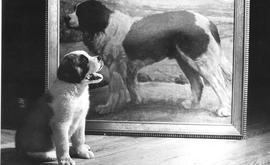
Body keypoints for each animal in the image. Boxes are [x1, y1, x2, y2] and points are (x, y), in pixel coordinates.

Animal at [66, 0, 232, 116]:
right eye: (74, 9)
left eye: (80, 12)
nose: (65, 17)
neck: (105, 25)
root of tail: (209, 22)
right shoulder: (129, 67)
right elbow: (132, 86)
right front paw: (136, 102)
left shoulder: (115, 67)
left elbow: (114, 91)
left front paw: (107, 108)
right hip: (185, 60)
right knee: (198, 83)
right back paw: (192, 105)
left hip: (200, 60)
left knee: (219, 83)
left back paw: (224, 109)